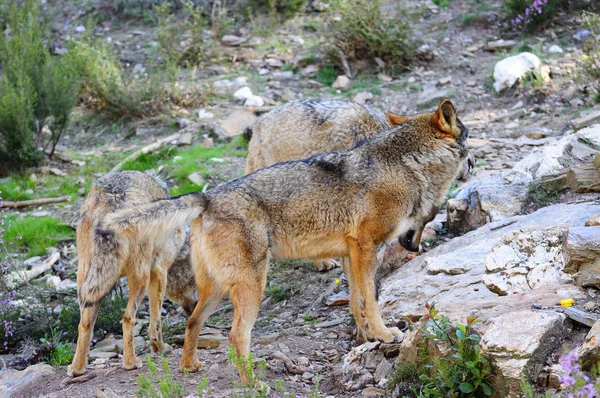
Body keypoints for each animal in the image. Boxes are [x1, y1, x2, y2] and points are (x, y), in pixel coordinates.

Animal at [66, 170, 196, 376]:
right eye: (194, 281)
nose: (195, 306)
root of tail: (110, 196)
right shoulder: (158, 271)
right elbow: (155, 322)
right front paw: (160, 348)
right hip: (139, 278)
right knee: (128, 318)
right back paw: (131, 362)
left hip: (88, 282)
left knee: (84, 324)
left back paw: (77, 368)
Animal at [84, 99, 468, 386]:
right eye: (468, 140)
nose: (473, 162)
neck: (405, 164)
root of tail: (207, 198)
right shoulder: (365, 248)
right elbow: (370, 300)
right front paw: (385, 334)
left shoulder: (351, 253)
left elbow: (356, 302)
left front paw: (367, 337)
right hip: (252, 285)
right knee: (236, 335)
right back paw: (252, 383)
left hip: (215, 289)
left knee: (193, 323)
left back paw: (190, 367)